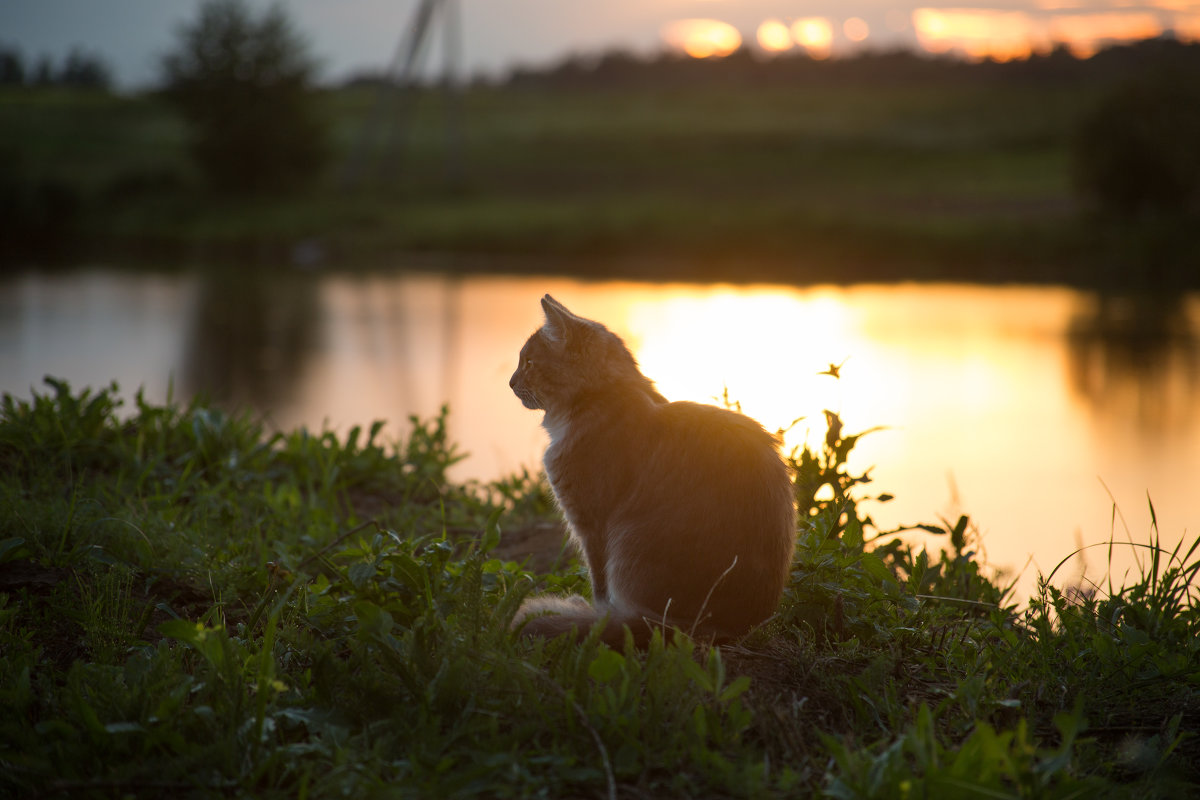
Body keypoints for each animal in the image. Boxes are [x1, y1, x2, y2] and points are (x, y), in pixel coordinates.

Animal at [508, 297, 796, 647]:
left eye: (529, 362)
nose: (511, 382)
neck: (600, 400)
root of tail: (729, 626)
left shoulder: (591, 527)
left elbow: (599, 586)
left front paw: (596, 614)